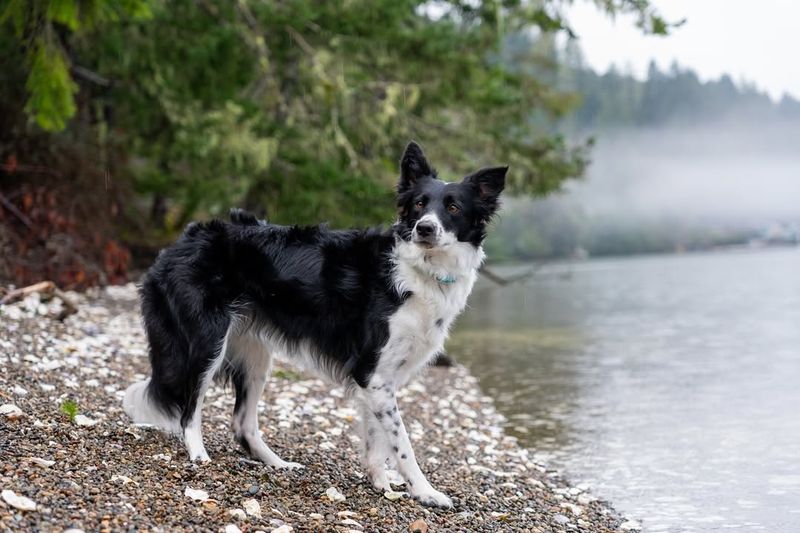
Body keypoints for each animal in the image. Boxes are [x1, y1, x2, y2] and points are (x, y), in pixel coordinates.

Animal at [125, 141, 506, 508]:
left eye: (453, 208)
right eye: (419, 204)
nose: (424, 228)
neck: (419, 270)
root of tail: (181, 241)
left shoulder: (380, 379)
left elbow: (378, 441)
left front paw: (382, 485)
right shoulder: (374, 372)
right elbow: (403, 444)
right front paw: (425, 492)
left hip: (256, 357)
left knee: (242, 424)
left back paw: (278, 464)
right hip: (208, 342)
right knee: (189, 409)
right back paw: (199, 456)